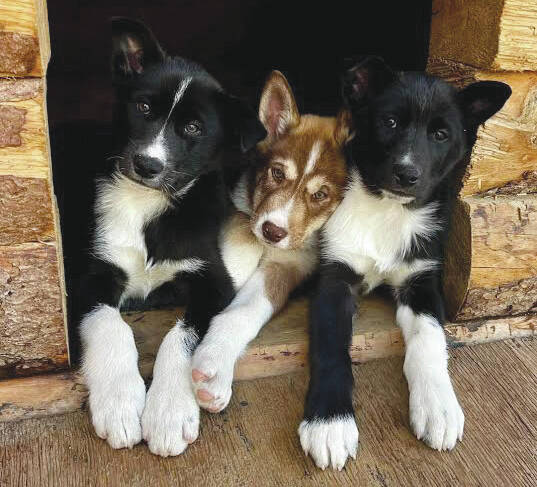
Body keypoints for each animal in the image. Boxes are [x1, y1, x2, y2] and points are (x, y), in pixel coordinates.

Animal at [77, 16, 264, 458]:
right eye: (143, 107)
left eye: (193, 128)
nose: (147, 164)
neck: (147, 204)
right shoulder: (94, 272)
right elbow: (109, 323)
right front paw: (119, 402)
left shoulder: (213, 280)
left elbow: (181, 336)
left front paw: (168, 411)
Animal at [191, 70, 350, 414]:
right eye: (277, 173)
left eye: (320, 195)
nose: (272, 232)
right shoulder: (239, 209)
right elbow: (240, 240)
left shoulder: (288, 265)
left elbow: (243, 312)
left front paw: (213, 367)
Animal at [300, 58, 508, 472]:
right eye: (390, 122)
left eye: (440, 134)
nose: (407, 174)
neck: (387, 211)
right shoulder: (334, 278)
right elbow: (331, 345)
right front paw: (330, 423)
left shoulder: (422, 281)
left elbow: (430, 339)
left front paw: (439, 406)